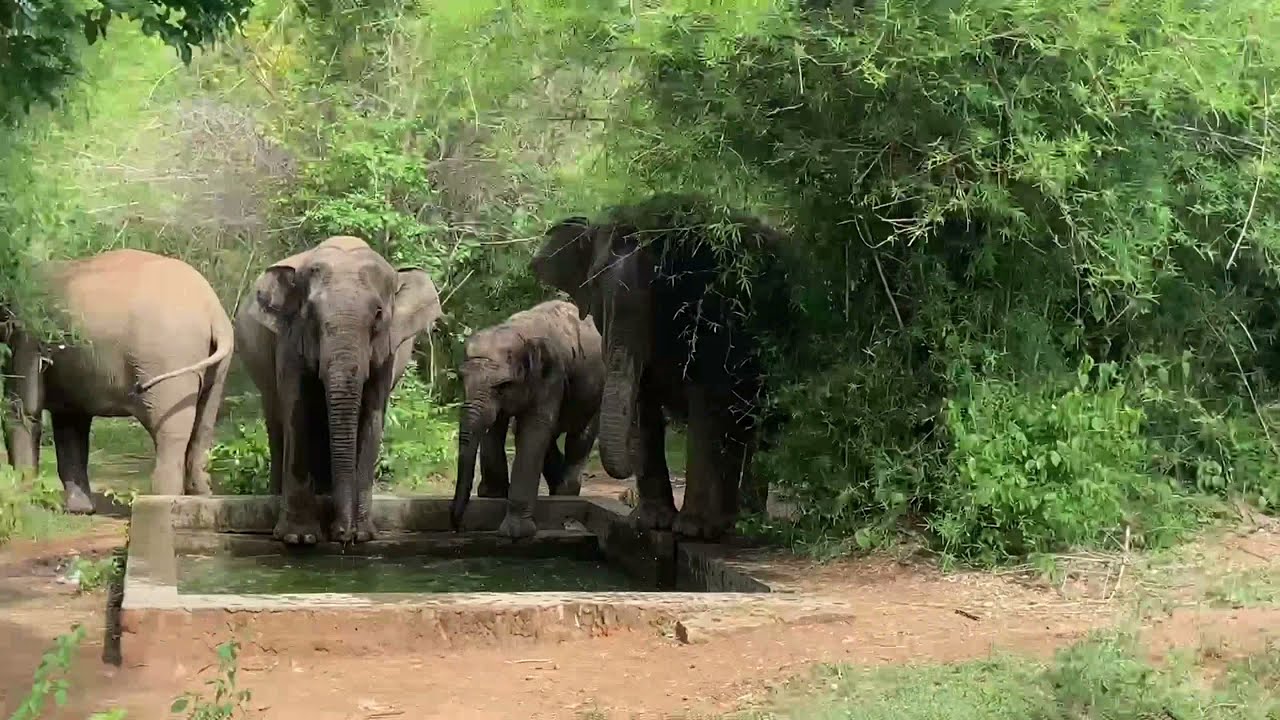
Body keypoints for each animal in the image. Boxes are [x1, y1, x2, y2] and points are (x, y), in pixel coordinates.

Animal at [1, 249, 234, 513]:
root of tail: (213, 312)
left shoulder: (25, 337)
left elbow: (23, 410)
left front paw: (22, 502)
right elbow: (70, 421)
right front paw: (81, 510)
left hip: (168, 360)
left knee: (171, 432)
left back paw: (162, 500)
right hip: (215, 368)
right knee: (203, 425)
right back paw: (201, 498)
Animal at [233, 236, 442, 545]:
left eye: (378, 314)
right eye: (310, 314)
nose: (344, 536)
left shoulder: (387, 352)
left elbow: (372, 417)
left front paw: (363, 535)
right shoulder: (289, 341)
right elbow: (297, 410)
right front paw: (300, 538)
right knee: (277, 422)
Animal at [449, 299, 604, 538]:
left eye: (503, 386)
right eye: (461, 378)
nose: (457, 527)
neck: (517, 330)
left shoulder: (551, 375)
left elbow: (533, 429)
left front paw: (516, 533)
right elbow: (497, 426)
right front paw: (492, 495)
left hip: (596, 393)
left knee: (579, 438)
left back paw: (564, 493)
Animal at [530, 194, 790, 540]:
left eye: (663, 285)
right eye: (595, 282)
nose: (624, 494)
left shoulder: (716, 320)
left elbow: (705, 407)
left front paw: (693, 529)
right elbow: (644, 403)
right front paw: (650, 523)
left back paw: (746, 521)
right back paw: (734, 520)